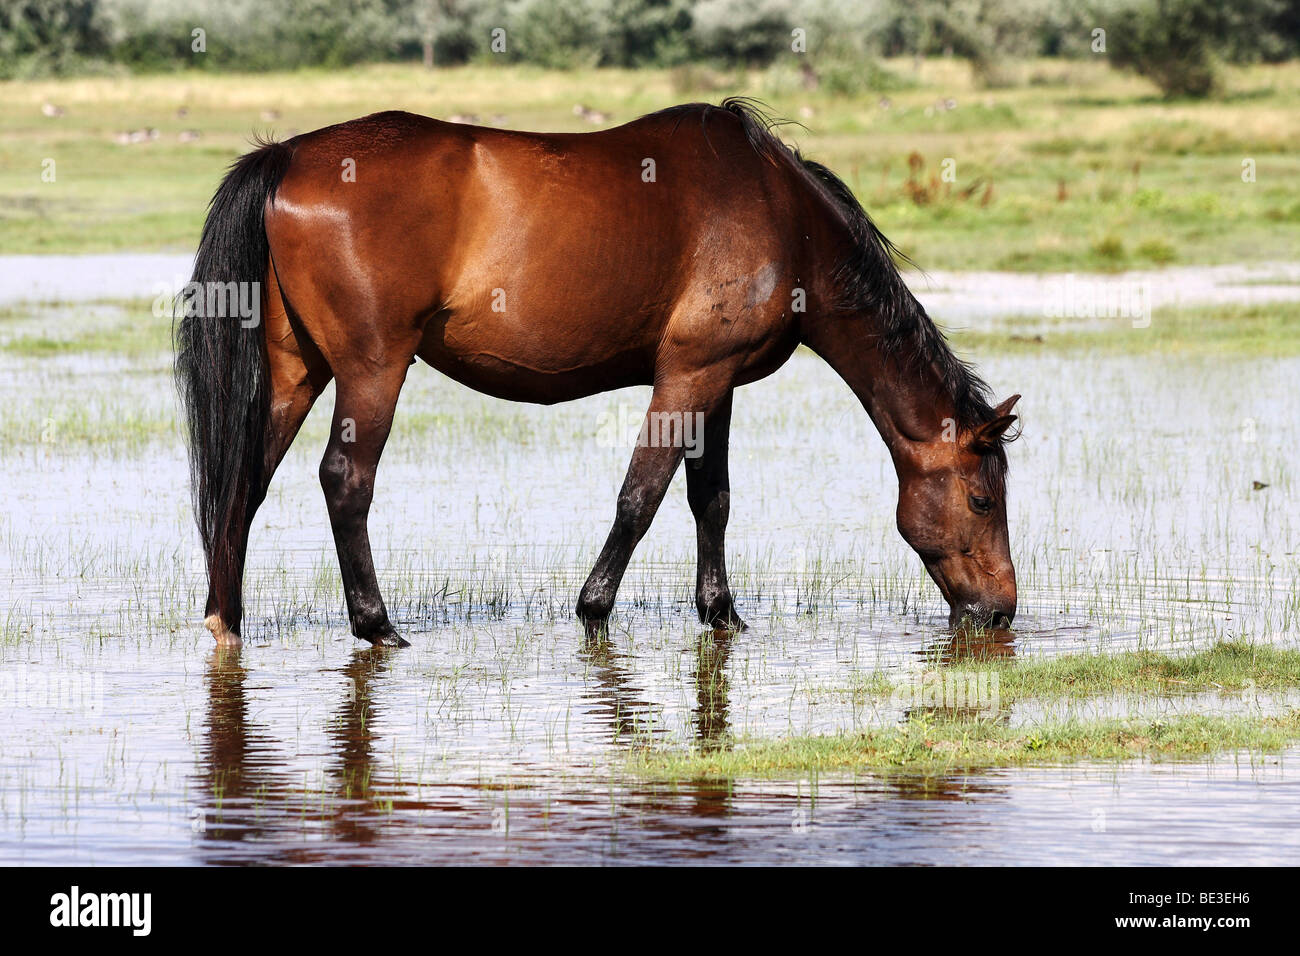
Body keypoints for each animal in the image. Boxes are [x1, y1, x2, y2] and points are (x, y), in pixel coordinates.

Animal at [178, 98, 1019, 650]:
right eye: (982, 498)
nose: (1001, 611)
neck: (784, 217)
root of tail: (287, 156)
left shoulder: (718, 386)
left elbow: (710, 499)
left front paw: (722, 612)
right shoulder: (688, 376)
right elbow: (640, 498)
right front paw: (593, 607)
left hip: (297, 370)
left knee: (244, 478)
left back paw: (228, 618)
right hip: (372, 370)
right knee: (344, 481)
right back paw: (377, 625)